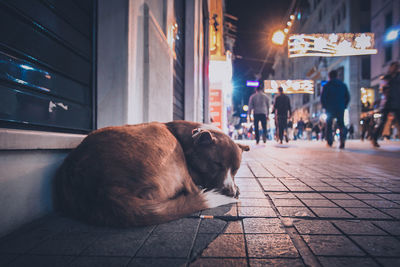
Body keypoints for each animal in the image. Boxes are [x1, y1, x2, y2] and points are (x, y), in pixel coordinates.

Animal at [55, 120, 250, 227]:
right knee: (193, 189)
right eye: (216, 164)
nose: (231, 192)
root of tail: (105, 192)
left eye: (235, 170)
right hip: (165, 139)